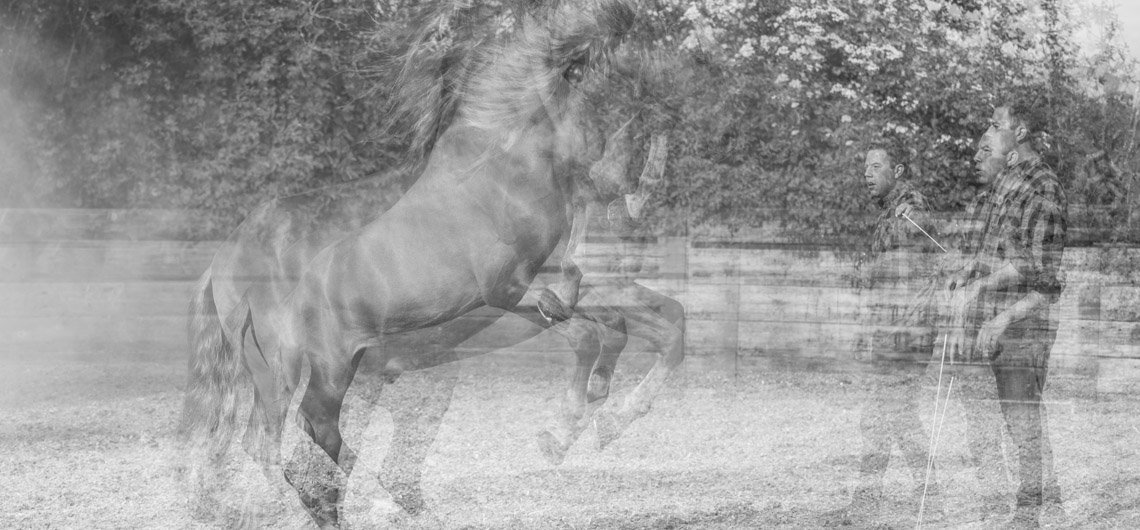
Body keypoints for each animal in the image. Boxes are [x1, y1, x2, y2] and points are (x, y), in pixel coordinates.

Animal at [177, 0, 685, 526]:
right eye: (611, 88)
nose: (626, 190)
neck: (505, 172)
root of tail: (224, 258)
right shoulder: (511, 290)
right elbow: (595, 336)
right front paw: (564, 434)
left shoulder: (571, 289)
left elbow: (658, 330)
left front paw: (606, 418)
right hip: (308, 370)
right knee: (296, 439)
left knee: (304, 440)